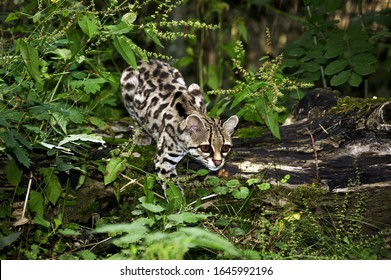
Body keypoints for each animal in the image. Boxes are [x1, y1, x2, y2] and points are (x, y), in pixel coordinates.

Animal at [120, 60, 239, 192]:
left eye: (225, 148)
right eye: (205, 148)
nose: (218, 162)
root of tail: (145, 61)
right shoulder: (163, 161)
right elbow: (172, 187)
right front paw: (181, 198)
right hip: (128, 88)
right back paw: (142, 133)